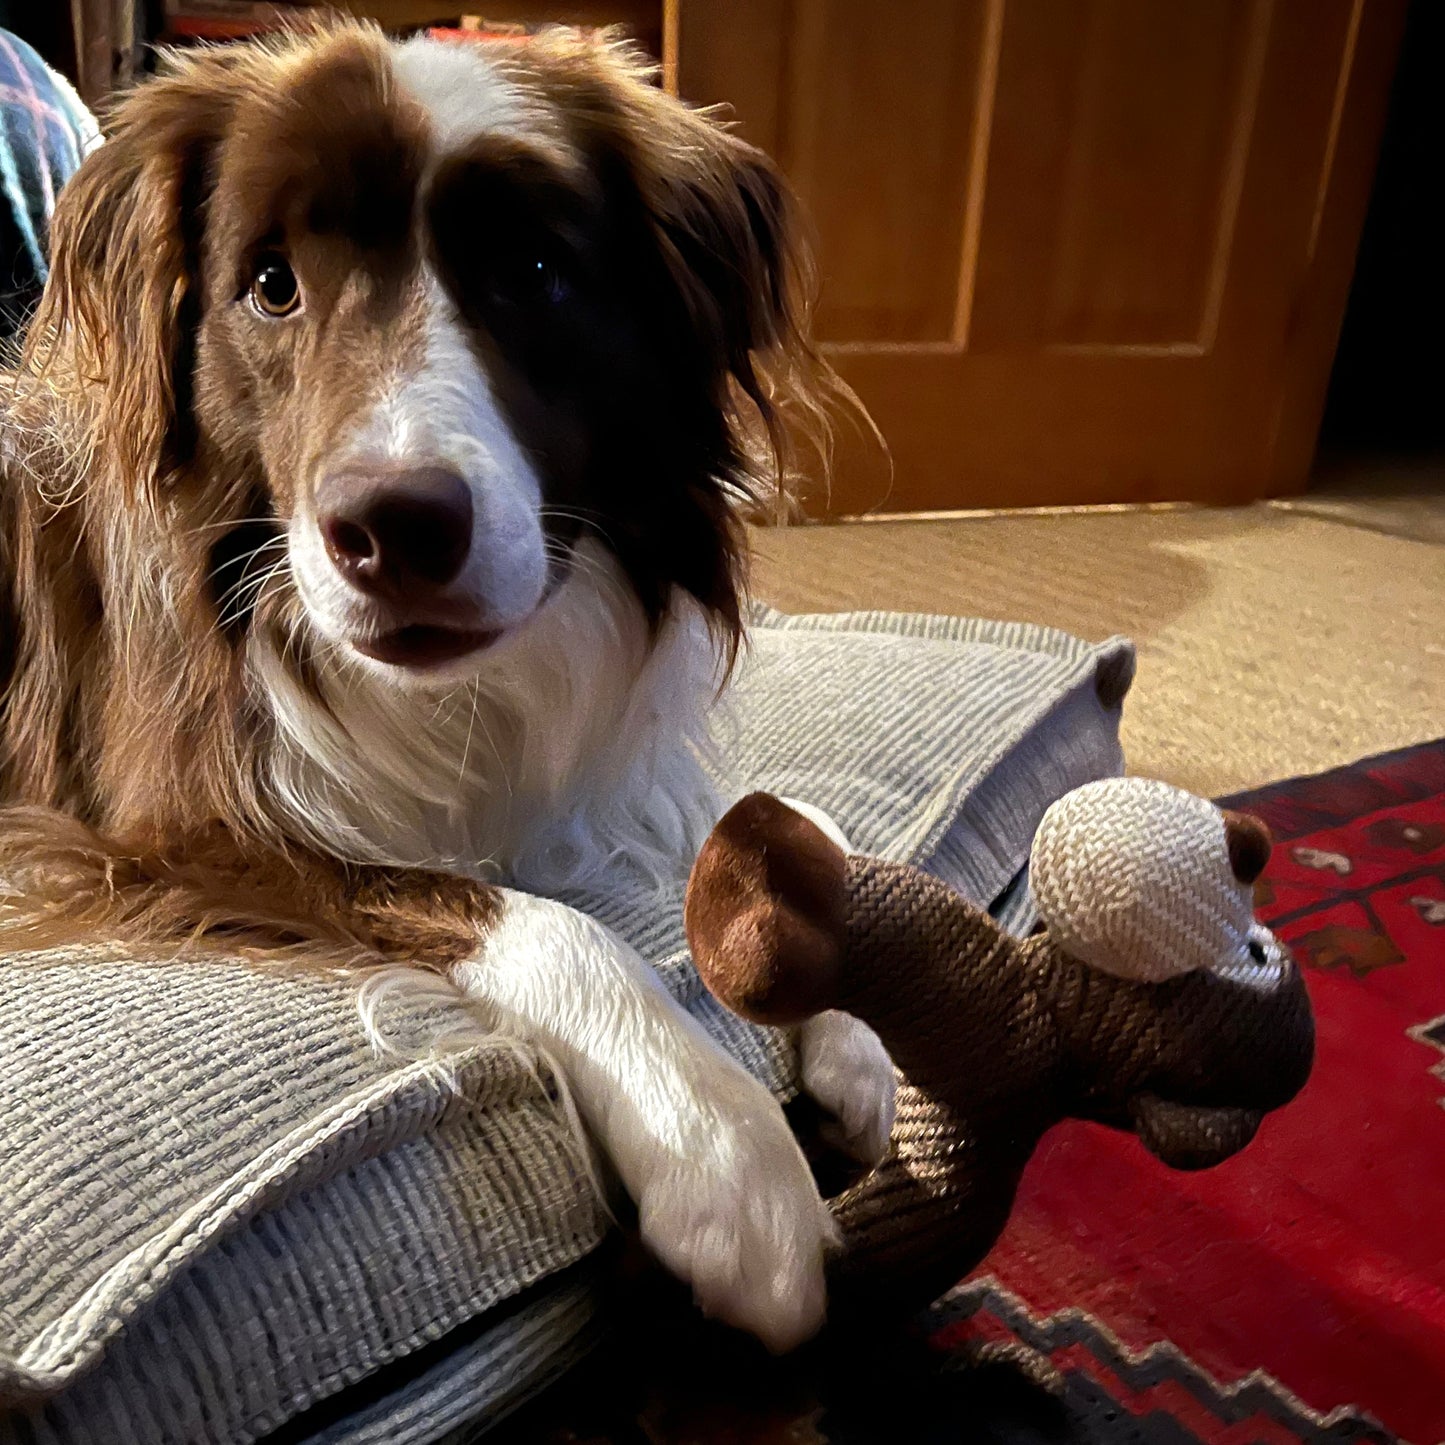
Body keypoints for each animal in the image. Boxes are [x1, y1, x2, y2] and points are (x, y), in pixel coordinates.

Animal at [0, 25, 895, 1352]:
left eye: (531, 269)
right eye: (272, 285)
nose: (392, 530)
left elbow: (778, 816)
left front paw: (855, 1021)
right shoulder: (159, 830)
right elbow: (537, 919)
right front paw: (716, 1143)